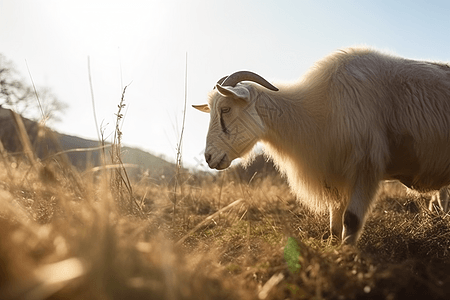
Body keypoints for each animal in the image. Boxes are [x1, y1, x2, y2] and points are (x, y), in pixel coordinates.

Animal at [194, 46, 450, 244]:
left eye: (226, 109)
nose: (209, 157)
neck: (320, 108)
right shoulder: (335, 176)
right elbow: (334, 225)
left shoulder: (365, 168)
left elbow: (351, 220)